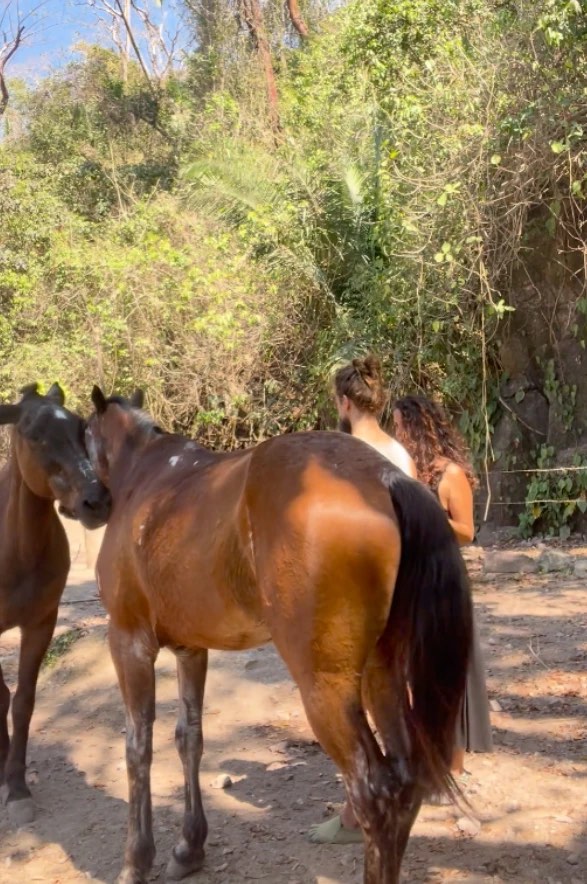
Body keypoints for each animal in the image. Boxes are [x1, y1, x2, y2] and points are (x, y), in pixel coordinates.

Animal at [0, 383, 112, 825]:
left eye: (82, 427)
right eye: (33, 435)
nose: (96, 501)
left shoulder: (41, 623)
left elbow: (22, 701)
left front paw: (15, 785)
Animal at [86, 386, 472, 884]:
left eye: (84, 433)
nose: (88, 503)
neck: (144, 478)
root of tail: (384, 476)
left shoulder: (129, 643)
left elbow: (138, 746)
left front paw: (136, 860)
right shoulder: (191, 650)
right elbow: (189, 738)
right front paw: (189, 848)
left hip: (325, 689)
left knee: (374, 792)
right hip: (381, 674)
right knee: (405, 783)